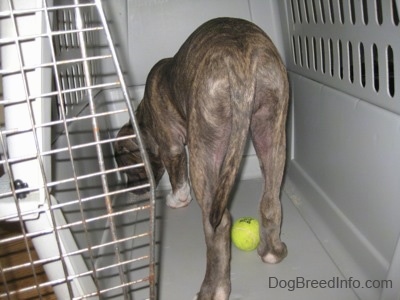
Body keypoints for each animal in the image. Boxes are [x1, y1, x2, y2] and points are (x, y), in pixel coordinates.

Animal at [114, 17, 290, 300]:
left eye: (127, 166)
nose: (130, 190)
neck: (145, 116)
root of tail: (240, 59)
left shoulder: (172, 146)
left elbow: (178, 177)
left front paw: (177, 199)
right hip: (271, 130)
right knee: (271, 201)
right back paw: (273, 252)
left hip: (205, 150)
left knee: (217, 224)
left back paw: (213, 289)